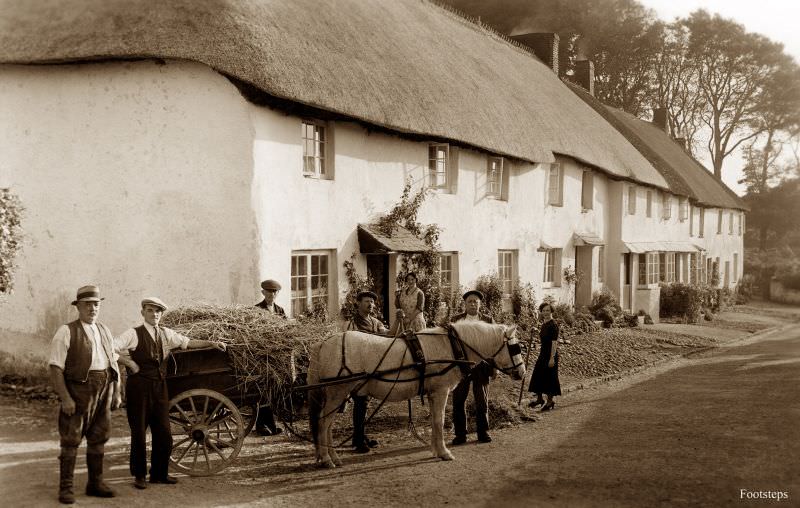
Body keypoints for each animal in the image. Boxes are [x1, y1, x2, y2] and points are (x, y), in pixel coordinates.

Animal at [306, 322, 524, 468]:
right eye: (515, 348)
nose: (521, 373)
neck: (451, 346)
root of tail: (323, 343)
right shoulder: (440, 391)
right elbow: (439, 420)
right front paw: (444, 452)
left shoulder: (432, 393)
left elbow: (435, 421)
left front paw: (436, 449)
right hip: (337, 393)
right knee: (324, 423)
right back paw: (327, 459)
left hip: (339, 395)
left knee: (328, 425)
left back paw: (333, 457)